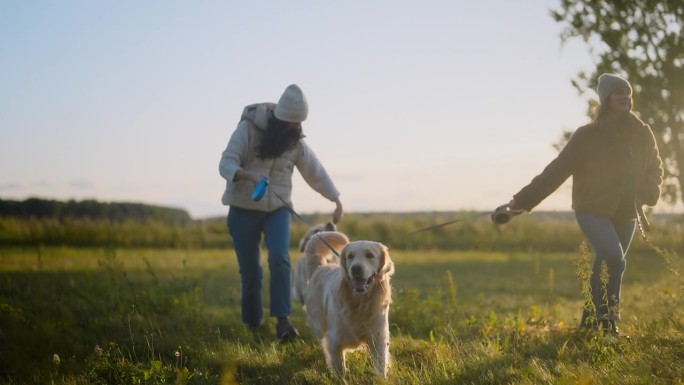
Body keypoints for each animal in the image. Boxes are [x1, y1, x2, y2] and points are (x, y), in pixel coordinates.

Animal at [306, 238, 396, 376]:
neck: (359, 303)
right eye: (350, 256)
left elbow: (380, 364)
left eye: (369, 255)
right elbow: (339, 366)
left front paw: (382, 378)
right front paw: (341, 377)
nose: (356, 268)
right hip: (318, 323)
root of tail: (320, 267)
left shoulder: (378, 336)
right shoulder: (335, 338)